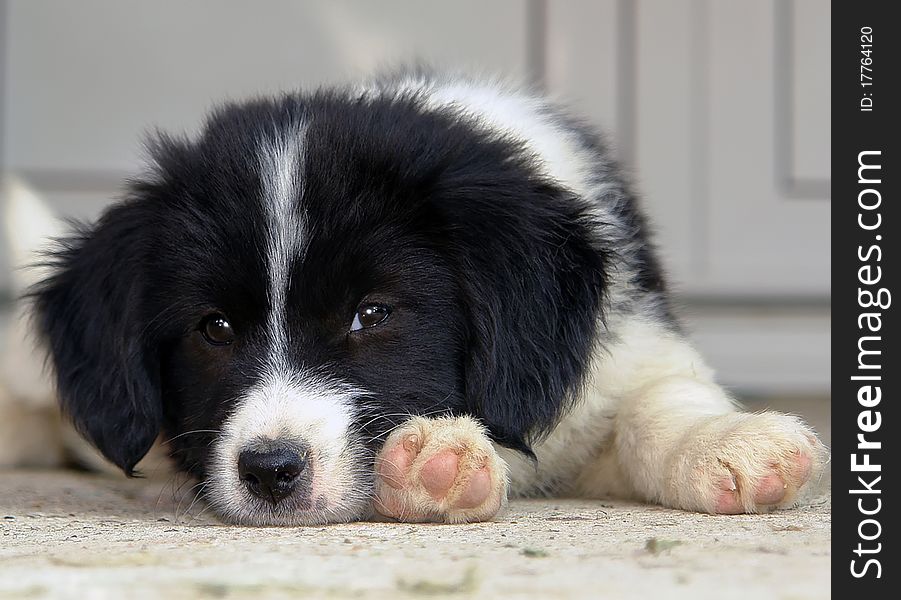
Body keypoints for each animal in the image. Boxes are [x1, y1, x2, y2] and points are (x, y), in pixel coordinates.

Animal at [31, 74, 828, 524]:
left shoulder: (632, 346)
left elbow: (659, 400)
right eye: (215, 327)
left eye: (373, 313)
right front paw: (437, 463)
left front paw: (728, 443)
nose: (269, 472)